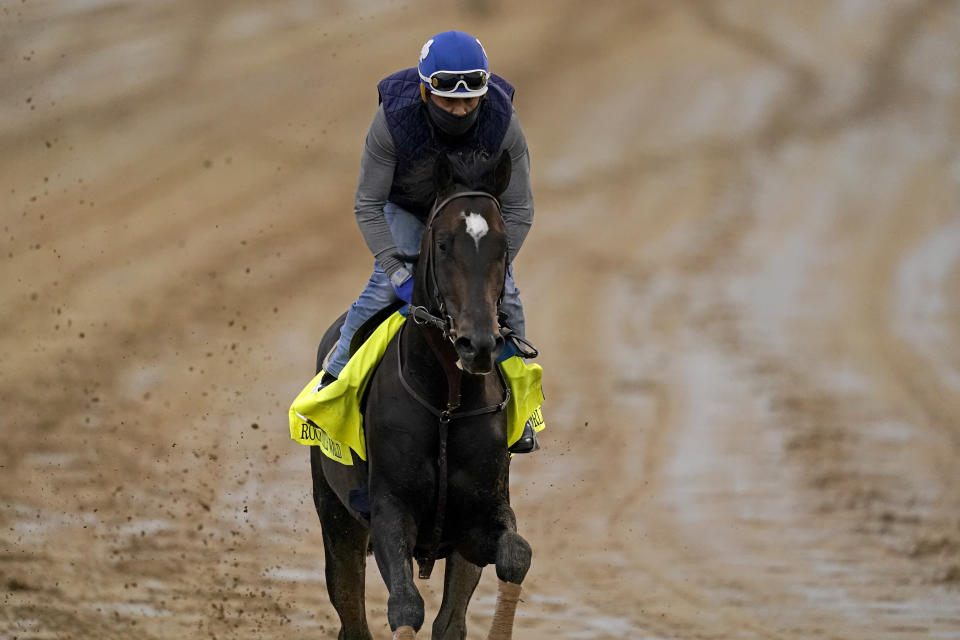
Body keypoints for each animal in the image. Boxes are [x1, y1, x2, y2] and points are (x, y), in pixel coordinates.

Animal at [310, 150, 532, 640]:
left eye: (503, 245)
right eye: (445, 243)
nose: (478, 344)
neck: (446, 403)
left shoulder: (477, 518)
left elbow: (516, 554)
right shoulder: (389, 511)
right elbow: (405, 606)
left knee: (451, 619)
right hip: (336, 516)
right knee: (352, 614)